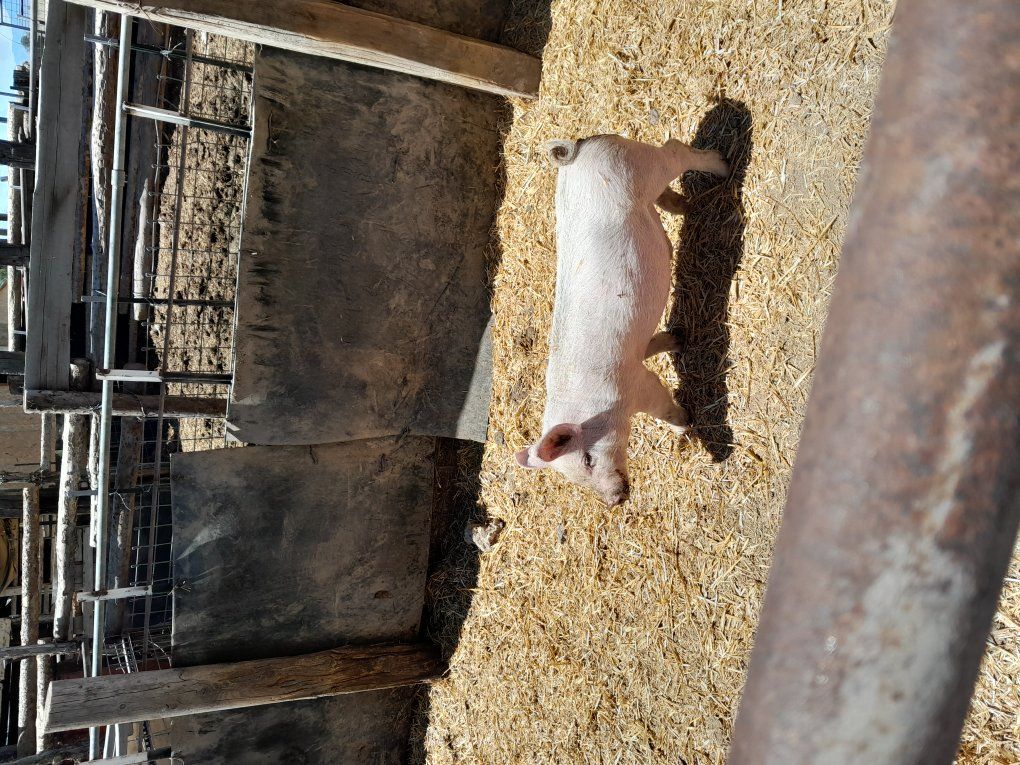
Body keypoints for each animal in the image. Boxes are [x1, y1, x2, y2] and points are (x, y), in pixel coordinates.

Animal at [515, 134, 729, 506]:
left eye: (588, 459)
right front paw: (679, 339)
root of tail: (580, 149)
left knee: (674, 150)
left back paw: (724, 167)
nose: (614, 501)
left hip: (637, 164)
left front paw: (686, 427)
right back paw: (685, 209)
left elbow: (662, 403)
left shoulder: (635, 385)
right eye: (573, 480)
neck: (592, 410)